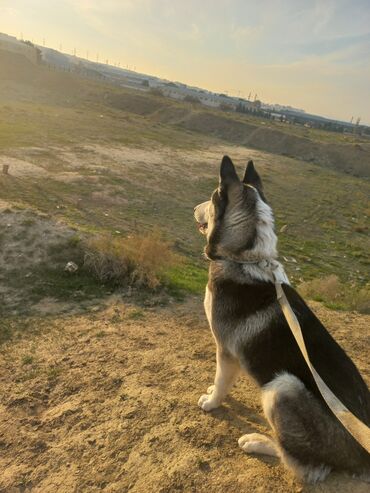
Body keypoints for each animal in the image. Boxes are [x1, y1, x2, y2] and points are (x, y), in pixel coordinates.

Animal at [194, 156, 370, 482]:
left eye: (211, 199)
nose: (193, 208)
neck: (245, 259)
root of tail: (364, 455)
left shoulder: (226, 352)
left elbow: (221, 381)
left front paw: (211, 402)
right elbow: (219, 381)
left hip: (281, 388)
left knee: (306, 467)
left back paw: (257, 442)